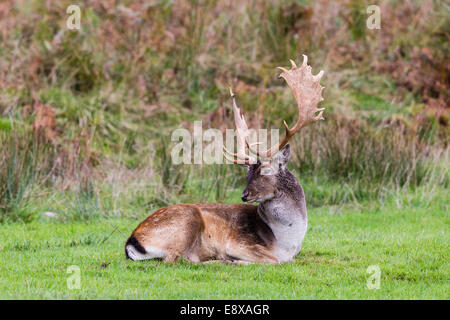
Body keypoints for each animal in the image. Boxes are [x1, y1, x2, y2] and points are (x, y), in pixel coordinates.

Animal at [125, 55, 326, 264]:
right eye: (247, 174)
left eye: (265, 171)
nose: (244, 195)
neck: (287, 242)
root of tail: (131, 242)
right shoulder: (238, 242)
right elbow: (273, 260)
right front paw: (234, 260)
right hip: (188, 219)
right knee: (176, 259)